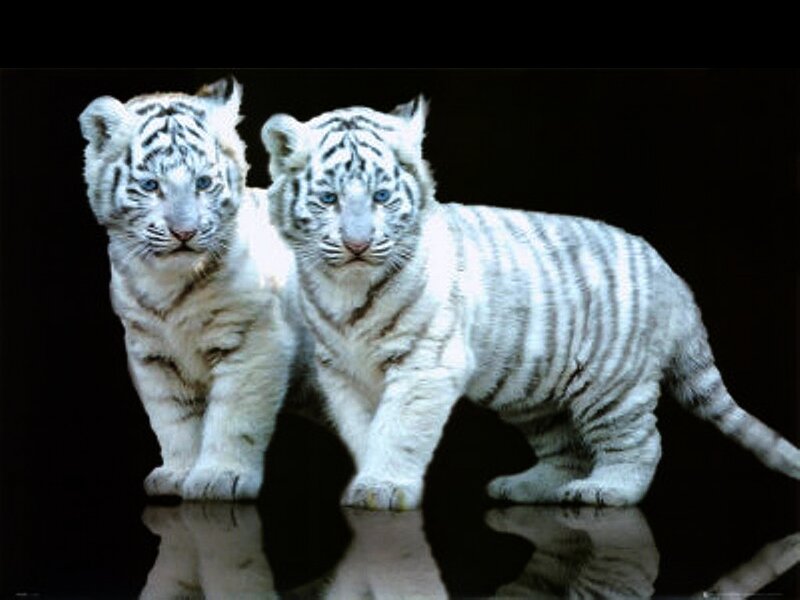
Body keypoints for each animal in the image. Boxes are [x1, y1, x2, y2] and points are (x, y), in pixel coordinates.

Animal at [79, 78, 303, 500]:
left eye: (203, 183)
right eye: (150, 185)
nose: (184, 232)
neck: (168, 283)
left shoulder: (254, 338)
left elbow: (233, 414)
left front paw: (221, 477)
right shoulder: (151, 352)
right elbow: (173, 417)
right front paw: (177, 473)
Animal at [259, 97, 800, 509]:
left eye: (381, 198)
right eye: (329, 199)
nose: (357, 244)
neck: (346, 286)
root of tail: (673, 277)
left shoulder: (425, 365)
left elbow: (399, 429)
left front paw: (384, 487)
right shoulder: (342, 372)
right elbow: (363, 430)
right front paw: (368, 479)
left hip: (613, 385)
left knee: (640, 442)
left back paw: (606, 491)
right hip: (534, 392)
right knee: (565, 450)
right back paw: (523, 487)